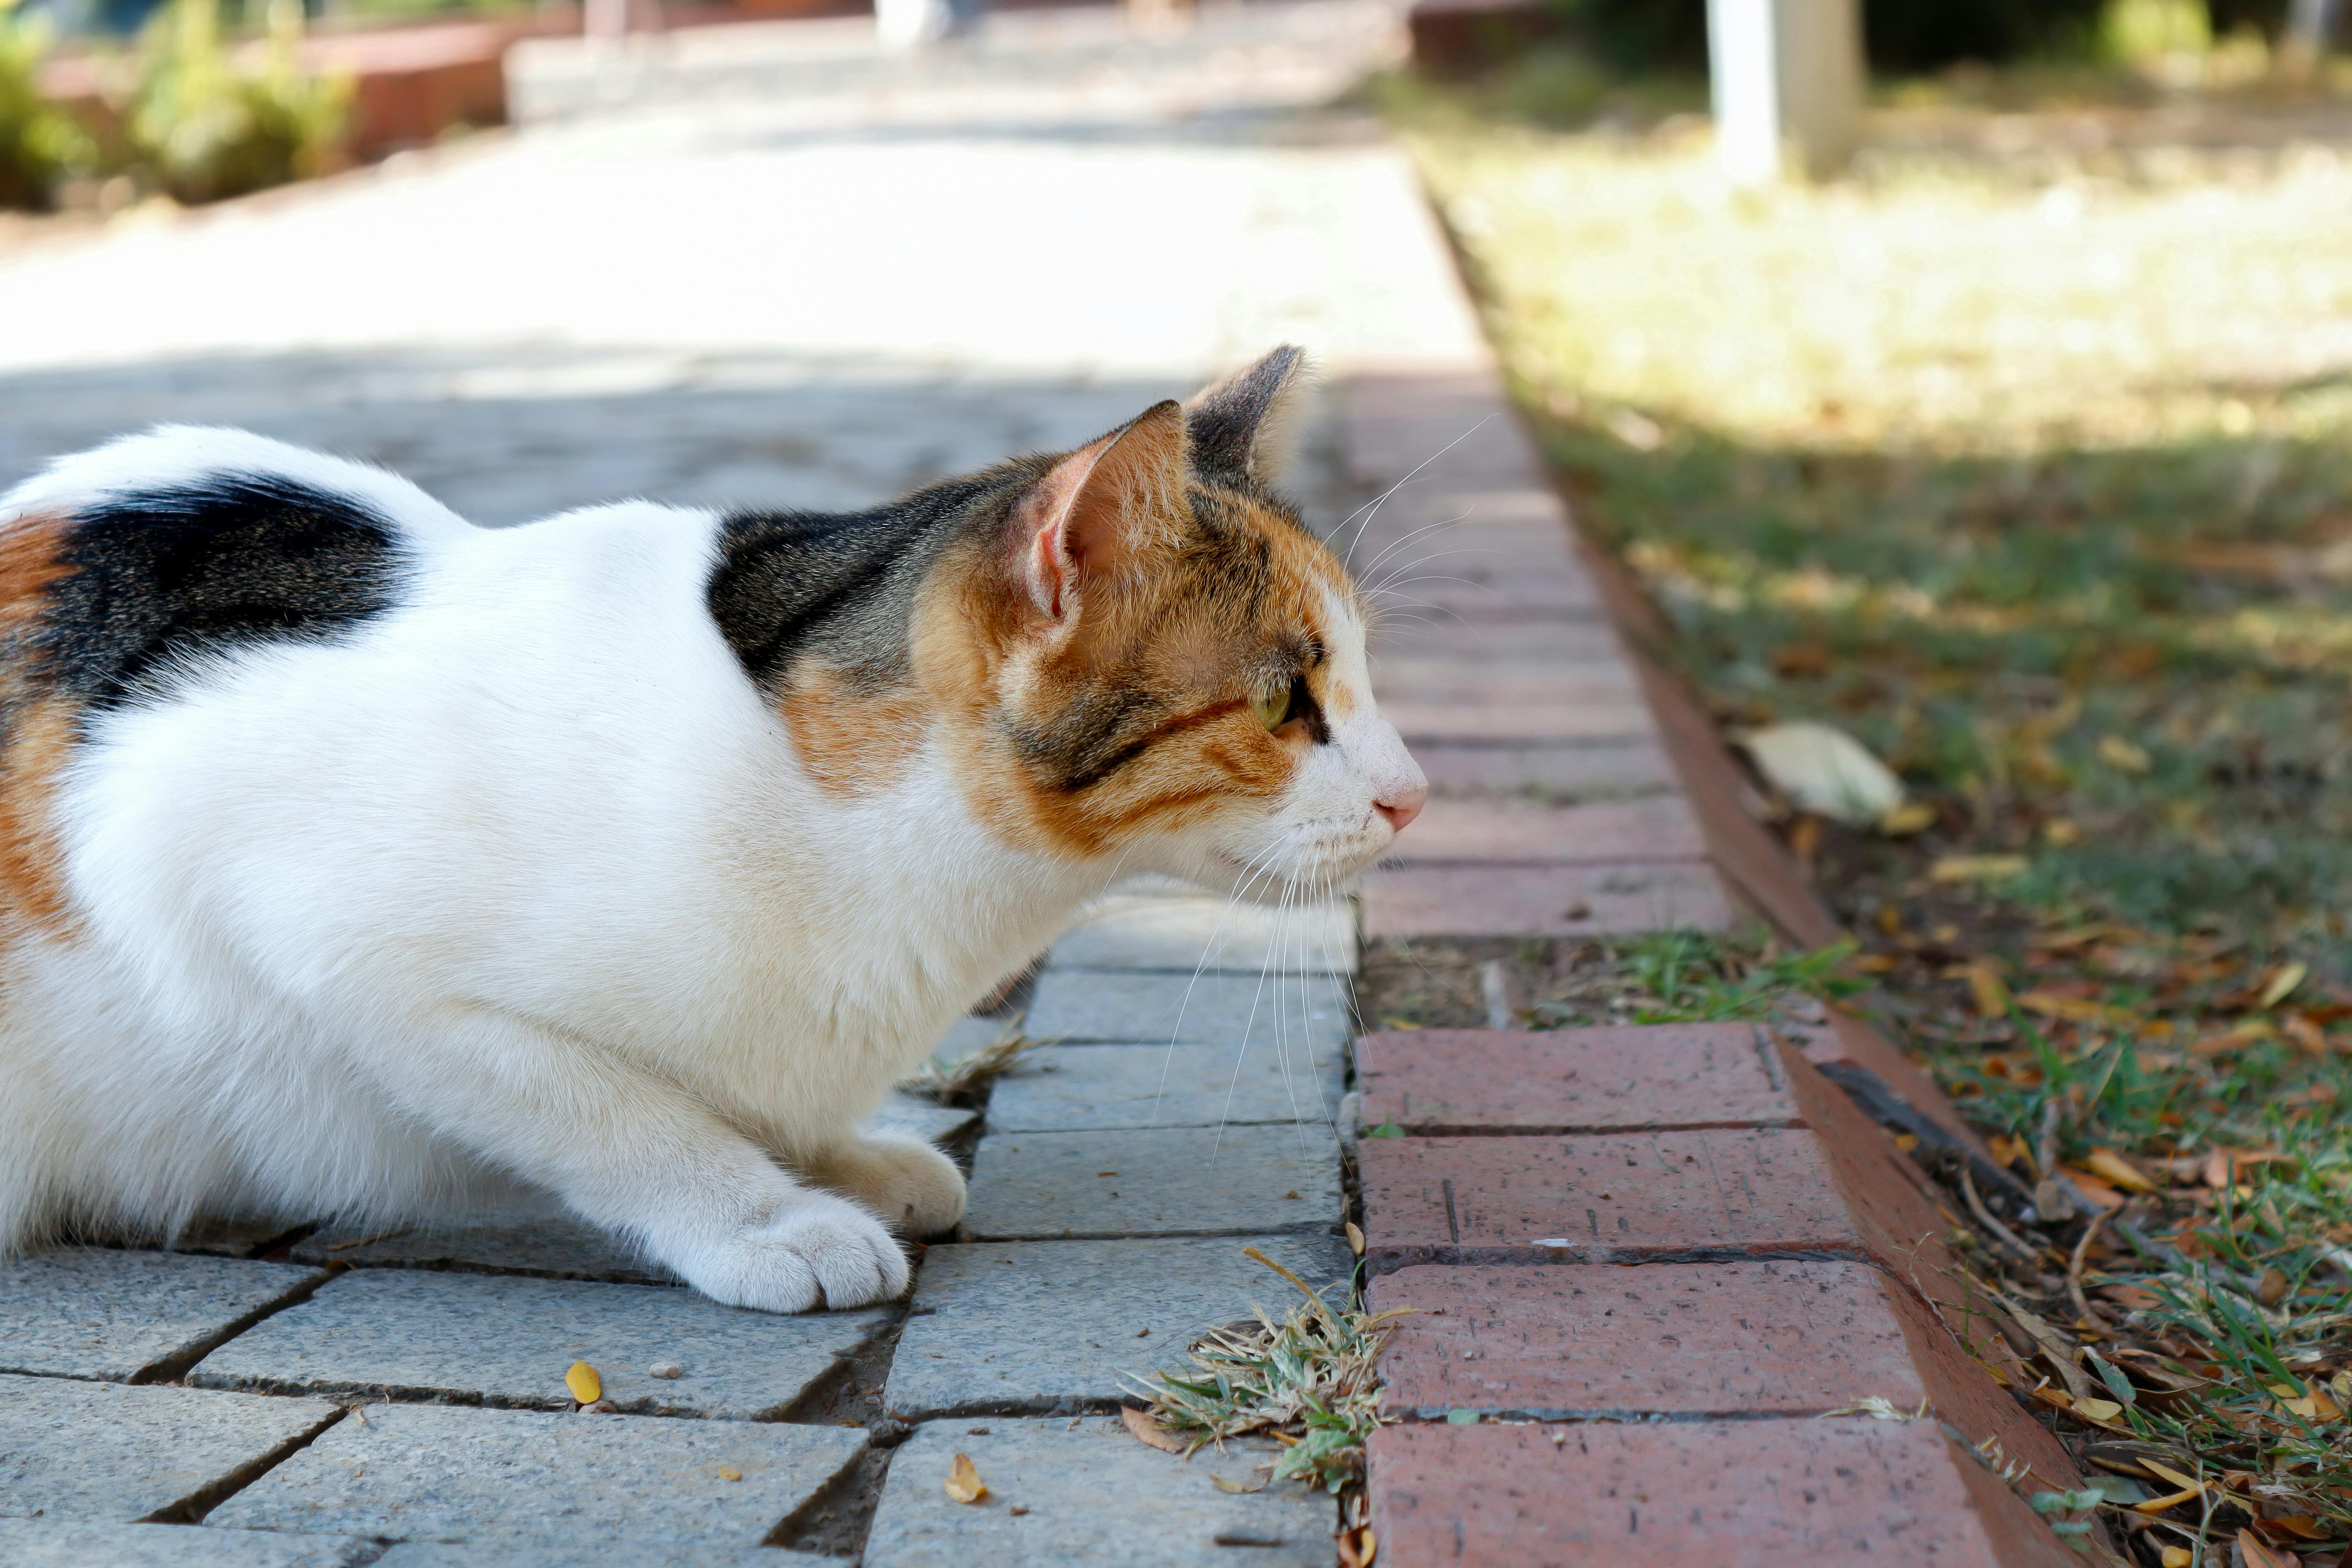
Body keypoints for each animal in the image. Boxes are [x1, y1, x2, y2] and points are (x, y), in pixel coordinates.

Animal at [0, 350, 1430, 1316]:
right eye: (1283, 702)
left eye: (1362, 675)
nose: (1415, 793)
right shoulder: (246, 879)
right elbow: (606, 1104)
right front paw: (764, 1216)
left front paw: (839, 1159)